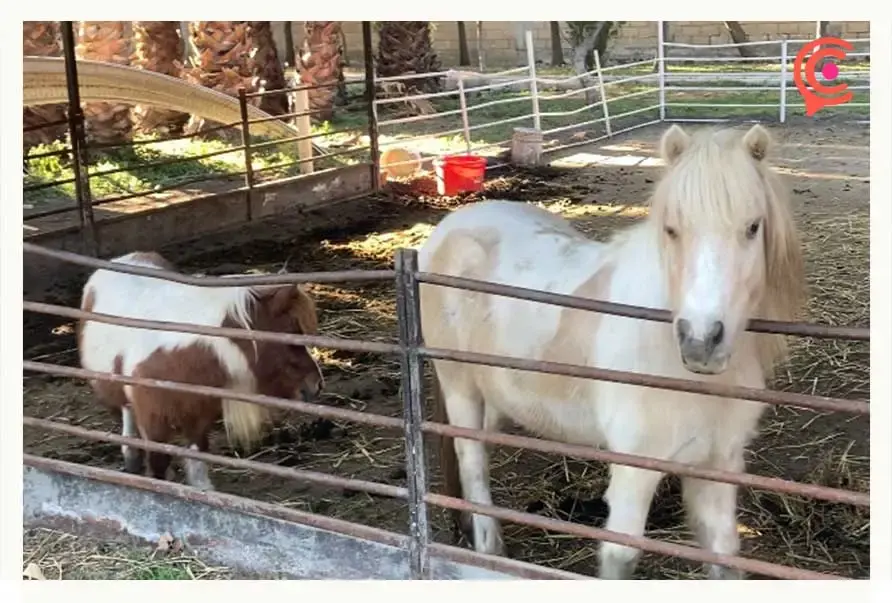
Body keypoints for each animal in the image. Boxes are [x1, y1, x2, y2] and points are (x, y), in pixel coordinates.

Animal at [77, 251, 324, 491]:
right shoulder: (153, 421)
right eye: (291, 335)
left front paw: (203, 490)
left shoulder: (199, 414)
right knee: (127, 413)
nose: (316, 385)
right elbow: (158, 463)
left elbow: (197, 455)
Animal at [418, 124, 804, 580]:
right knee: (473, 462)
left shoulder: (717, 465)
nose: (701, 342)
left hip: (494, 396)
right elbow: (620, 557)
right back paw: (488, 550)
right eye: (672, 229)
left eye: (752, 227)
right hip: (460, 387)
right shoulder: (636, 470)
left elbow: (725, 555)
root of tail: (447, 229)